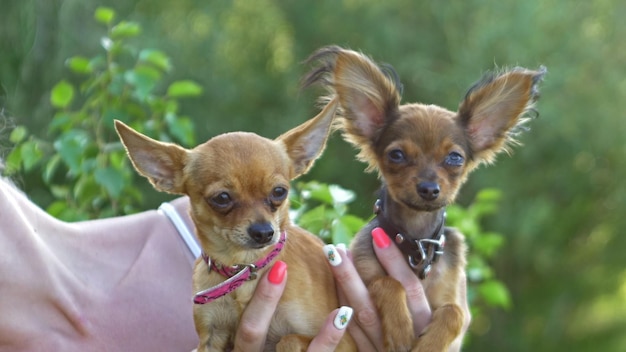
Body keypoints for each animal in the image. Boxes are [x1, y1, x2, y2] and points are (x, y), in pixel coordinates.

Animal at [114, 97, 354, 350]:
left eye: (279, 192)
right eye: (222, 198)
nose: (264, 232)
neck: (245, 266)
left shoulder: (344, 342)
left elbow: (288, 339)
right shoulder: (210, 338)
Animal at [304, 45, 544, 350]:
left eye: (455, 158)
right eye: (396, 155)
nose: (429, 188)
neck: (416, 242)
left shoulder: (451, 292)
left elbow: (453, 314)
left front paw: (428, 344)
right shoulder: (364, 271)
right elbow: (389, 283)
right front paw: (400, 331)